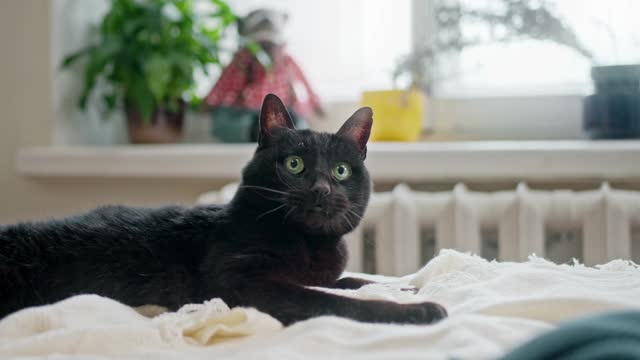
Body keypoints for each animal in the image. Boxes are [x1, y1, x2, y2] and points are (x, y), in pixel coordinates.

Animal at [0, 94, 448, 324]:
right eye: (294, 165)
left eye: (340, 171)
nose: (321, 188)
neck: (309, 243)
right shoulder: (242, 284)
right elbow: (333, 301)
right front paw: (420, 308)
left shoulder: (319, 272)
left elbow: (349, 280)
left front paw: (406, 285)